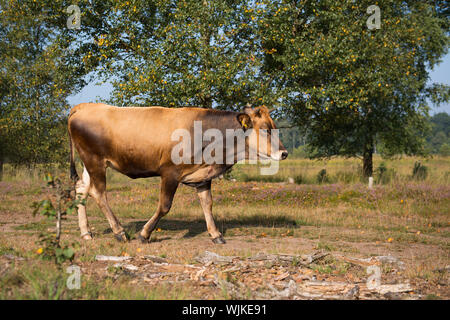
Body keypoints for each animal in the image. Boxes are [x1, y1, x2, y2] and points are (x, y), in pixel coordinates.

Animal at [69, 104, 288, 244]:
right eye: (266, 129)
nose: (284, 153)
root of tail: (84, 106)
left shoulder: (203, 175)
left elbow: (207, 204)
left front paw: (216, 234)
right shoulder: (170, 172)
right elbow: (165, 206)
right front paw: (144, 234)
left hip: (89, 163)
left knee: (81, 189)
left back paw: (86, 233)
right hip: (94, 161)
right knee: (98, 193)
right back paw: (119, 231)